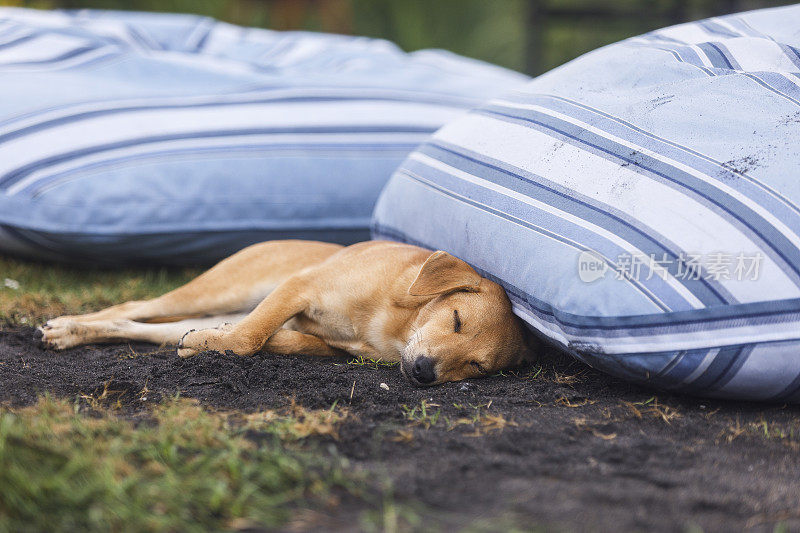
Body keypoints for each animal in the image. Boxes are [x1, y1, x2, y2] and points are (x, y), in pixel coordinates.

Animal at [36, 240, 532, 382]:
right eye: (456, 320)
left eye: (475, 366)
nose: (425, 373)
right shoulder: (299, 286)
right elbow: (248, 337)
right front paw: (227, 343)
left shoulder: (331, 345)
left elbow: (270, 339)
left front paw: (207, 345)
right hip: (216, 290)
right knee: (134, 305)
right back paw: (66, 325)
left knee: (141, 324)